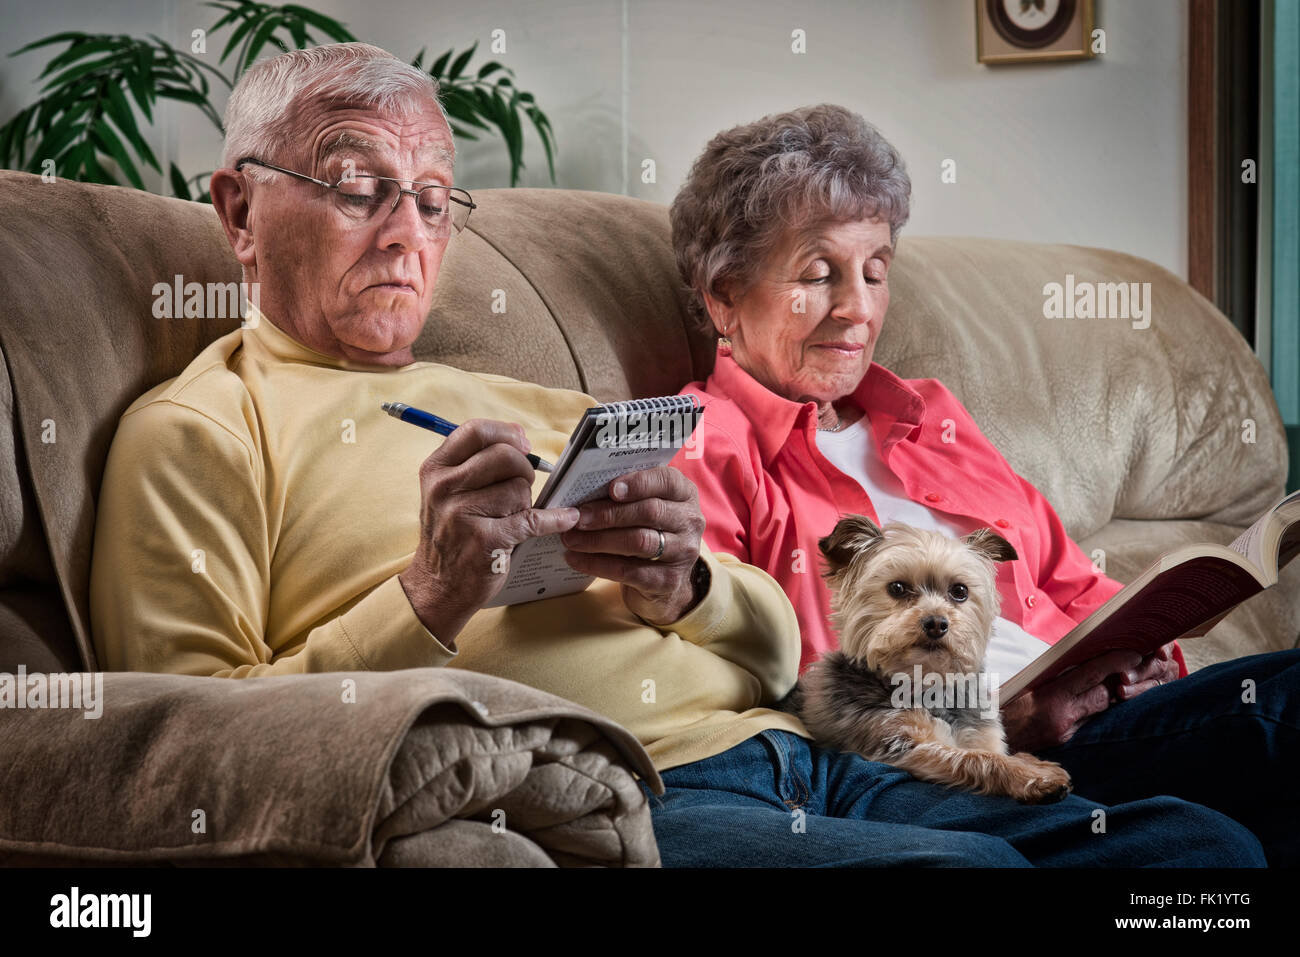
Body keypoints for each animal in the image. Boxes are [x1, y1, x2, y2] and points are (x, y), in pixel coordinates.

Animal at [785, 512, 1071, 806]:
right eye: (897, 588)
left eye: (960, 591)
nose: (936, 623)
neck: (926, 681)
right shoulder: (902, 744)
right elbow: (977, 758)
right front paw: (1029, 777)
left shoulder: (980, 732)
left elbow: (991, 750)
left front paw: (1032, 765)